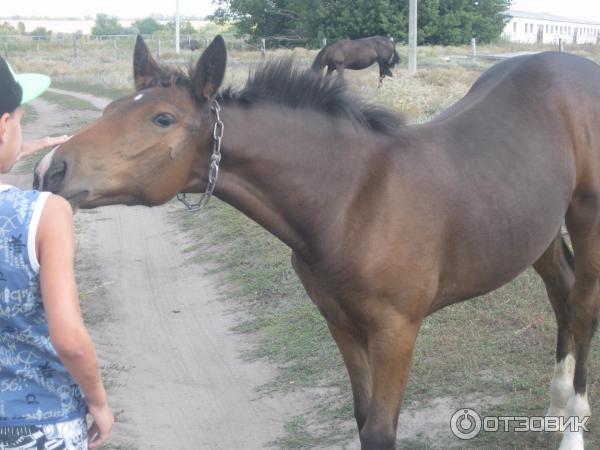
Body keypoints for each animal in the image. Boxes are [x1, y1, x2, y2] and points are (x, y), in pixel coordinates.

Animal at [34, 36, 600, 450]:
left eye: (162, 118)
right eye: (110, 108)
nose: (49, 169)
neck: (353, 196)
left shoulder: (397, 330)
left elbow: (381, 430)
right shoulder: (340, 322)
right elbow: (362, 418)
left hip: (586, 216)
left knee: (583, 307)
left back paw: (572, 427)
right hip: (535, 229)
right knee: (562, 297)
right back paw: (554, 413)